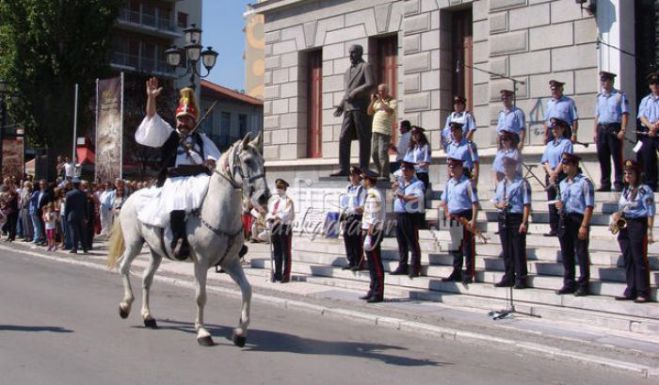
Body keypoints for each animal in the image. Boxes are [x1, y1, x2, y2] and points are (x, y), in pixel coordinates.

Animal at [107, 132, 270, 344]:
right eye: (248, 160)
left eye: (263, 162)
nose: (264, 196)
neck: (218, 212)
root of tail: (131, 196)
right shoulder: (201, 262)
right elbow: (201, 296)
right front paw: (202, 332)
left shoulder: (230, 262)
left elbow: (247, 290)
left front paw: (240, 332)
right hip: (134, 243)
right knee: (123, 266)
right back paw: (125, 305)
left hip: (155, 251)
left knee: (146, 279)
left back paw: (148, 317)